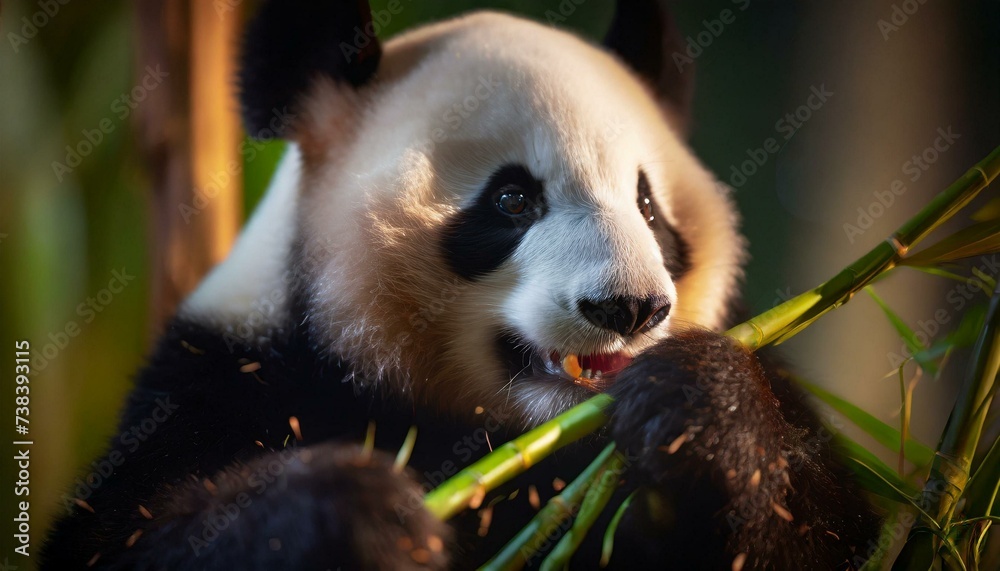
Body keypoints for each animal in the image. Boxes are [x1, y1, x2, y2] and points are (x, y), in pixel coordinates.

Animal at [42, 1, 880, 569]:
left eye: (649, 207)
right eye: (512, 199)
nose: (629, 307)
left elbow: (840, 526)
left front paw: (700, 410)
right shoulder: (222, 374)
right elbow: (127, 529)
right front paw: (359, 519)